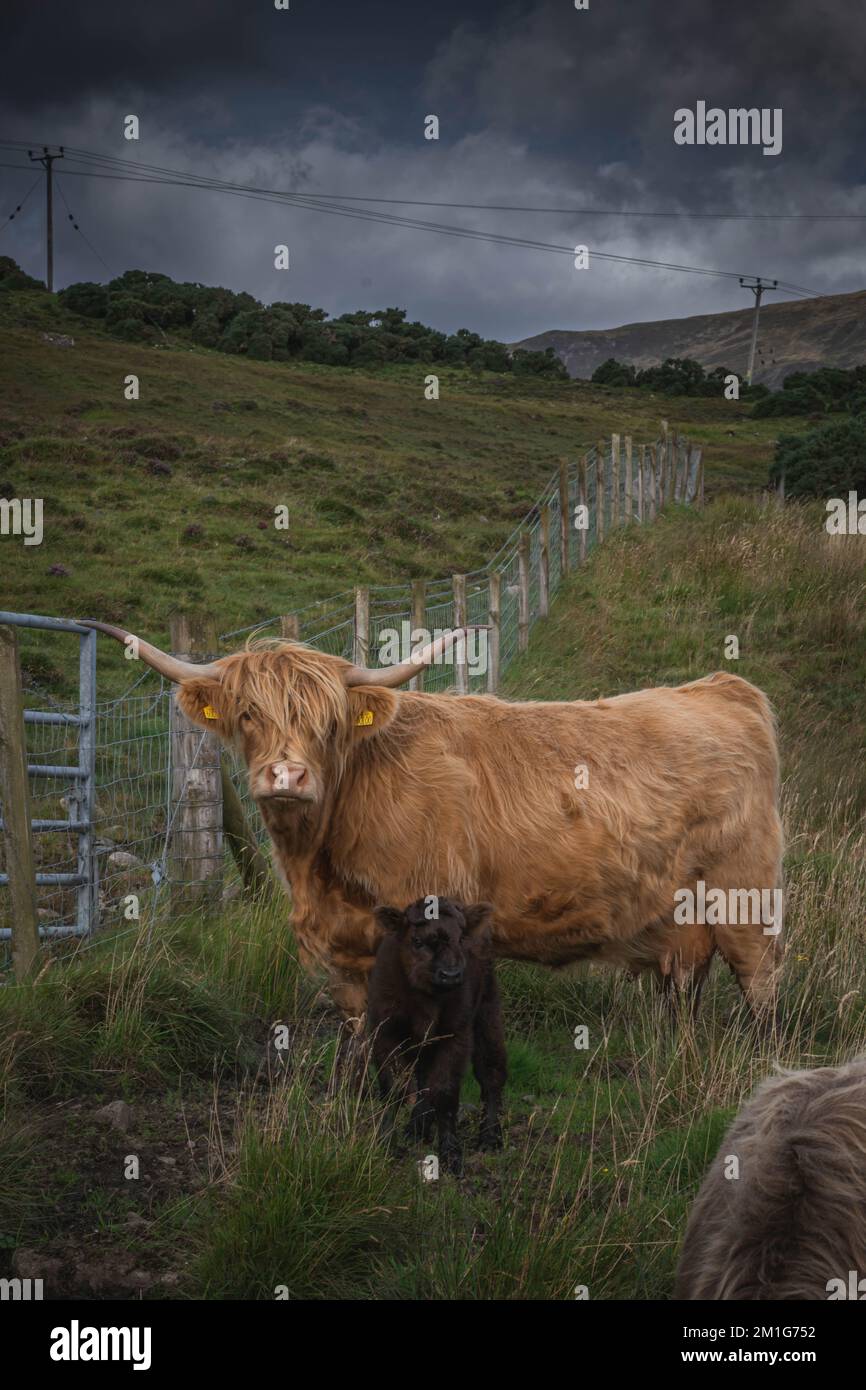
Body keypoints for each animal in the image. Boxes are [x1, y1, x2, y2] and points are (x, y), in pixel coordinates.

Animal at [81, 621, 784, 1025]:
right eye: (249, 714)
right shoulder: (346, 956)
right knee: (683, 984)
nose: (286, 776)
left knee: (760, 985)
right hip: (680, 919)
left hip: (744, 897)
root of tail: (721, 687)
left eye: (329, 722)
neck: (318, 863)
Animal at [368, 896, 506, 1175]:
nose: (450, 974)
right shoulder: (385, 1035)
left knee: (491, 1073)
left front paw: (451, 1153)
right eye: (417, 941)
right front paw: (386, 1143)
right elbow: (394, 1088)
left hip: (487, 1013)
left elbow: (445, 1090)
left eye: (461, 938)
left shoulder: (455, 1037)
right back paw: (416, 1129)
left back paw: (489, 1137)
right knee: (424, 1081)